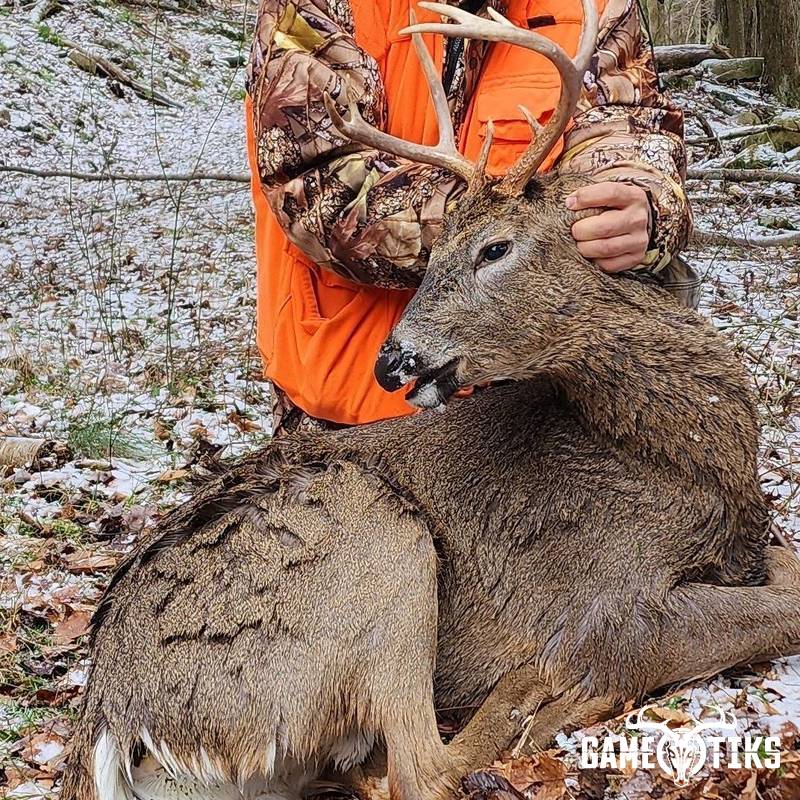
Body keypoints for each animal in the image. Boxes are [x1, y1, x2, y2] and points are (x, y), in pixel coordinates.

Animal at [61, 3, 800, 800]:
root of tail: (111, 718)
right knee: (423, 766)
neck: (682, 462)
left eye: (493, 248)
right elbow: (776, 610)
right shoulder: (609, 603)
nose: (393, 360)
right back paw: (526, 694)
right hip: (376, 539)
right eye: (433, 252)